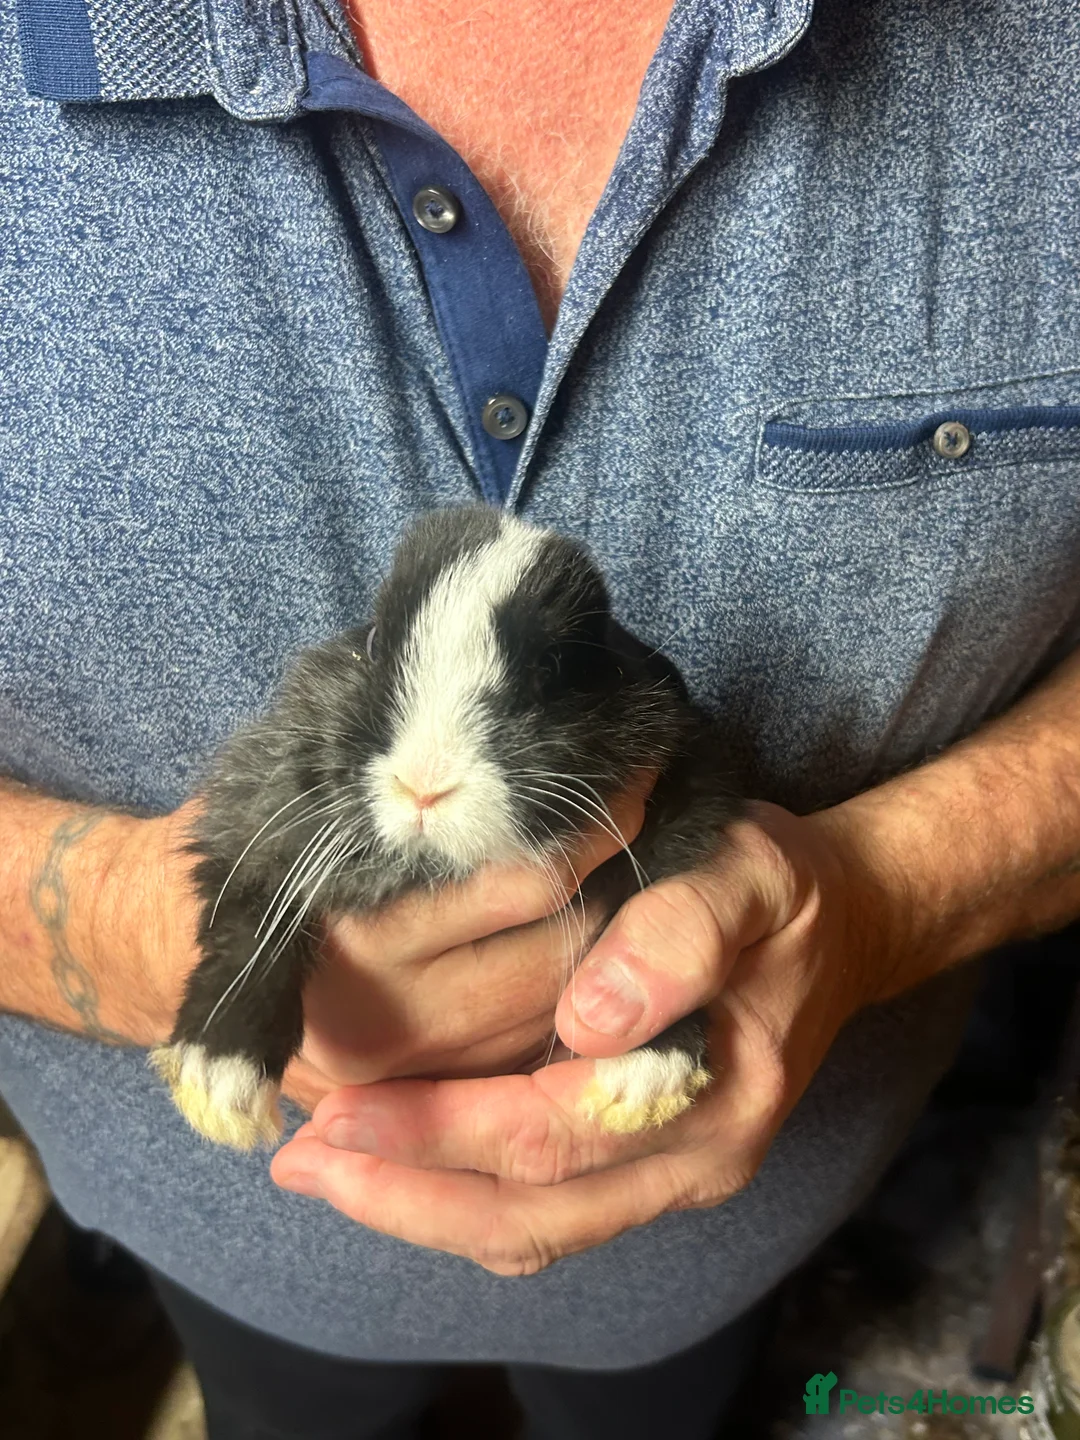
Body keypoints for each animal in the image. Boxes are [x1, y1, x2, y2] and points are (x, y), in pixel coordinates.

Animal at [150, 506, 743, 1149]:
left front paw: (648, 1078)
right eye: (373, 643)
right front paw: (216, 1082)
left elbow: (640, 908)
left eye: (551, 668)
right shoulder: (256, 829)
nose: (423, 785)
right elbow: (245, 929)